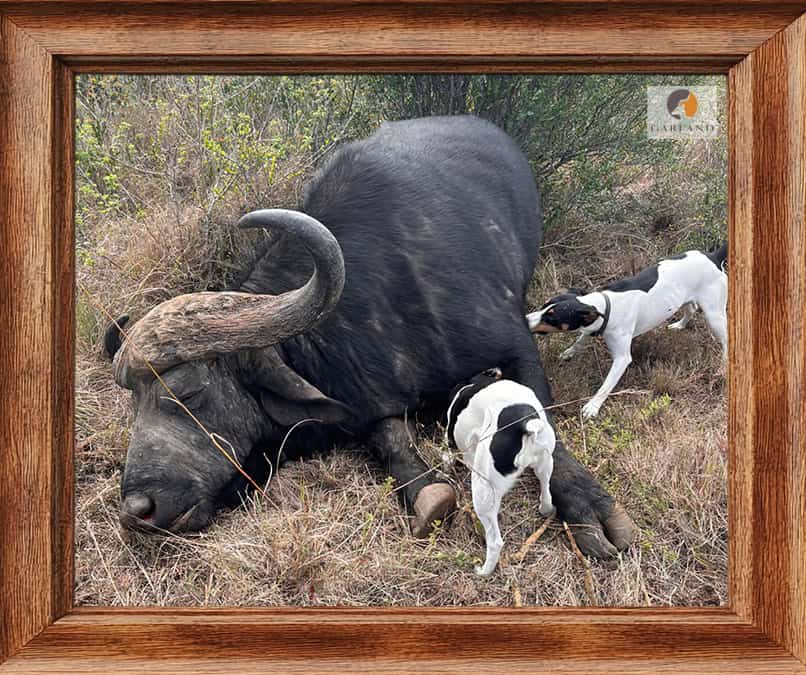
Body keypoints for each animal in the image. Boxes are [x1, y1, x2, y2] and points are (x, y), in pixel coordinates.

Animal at [105, 115, 636, 558]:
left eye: (188, 390)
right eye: (132, 404)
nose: (137, 510)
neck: (382, 293)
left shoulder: (516, 348)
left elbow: (543, 429)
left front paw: (590, 511)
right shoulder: (365, 399)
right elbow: (392, 441)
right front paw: (427, 492)